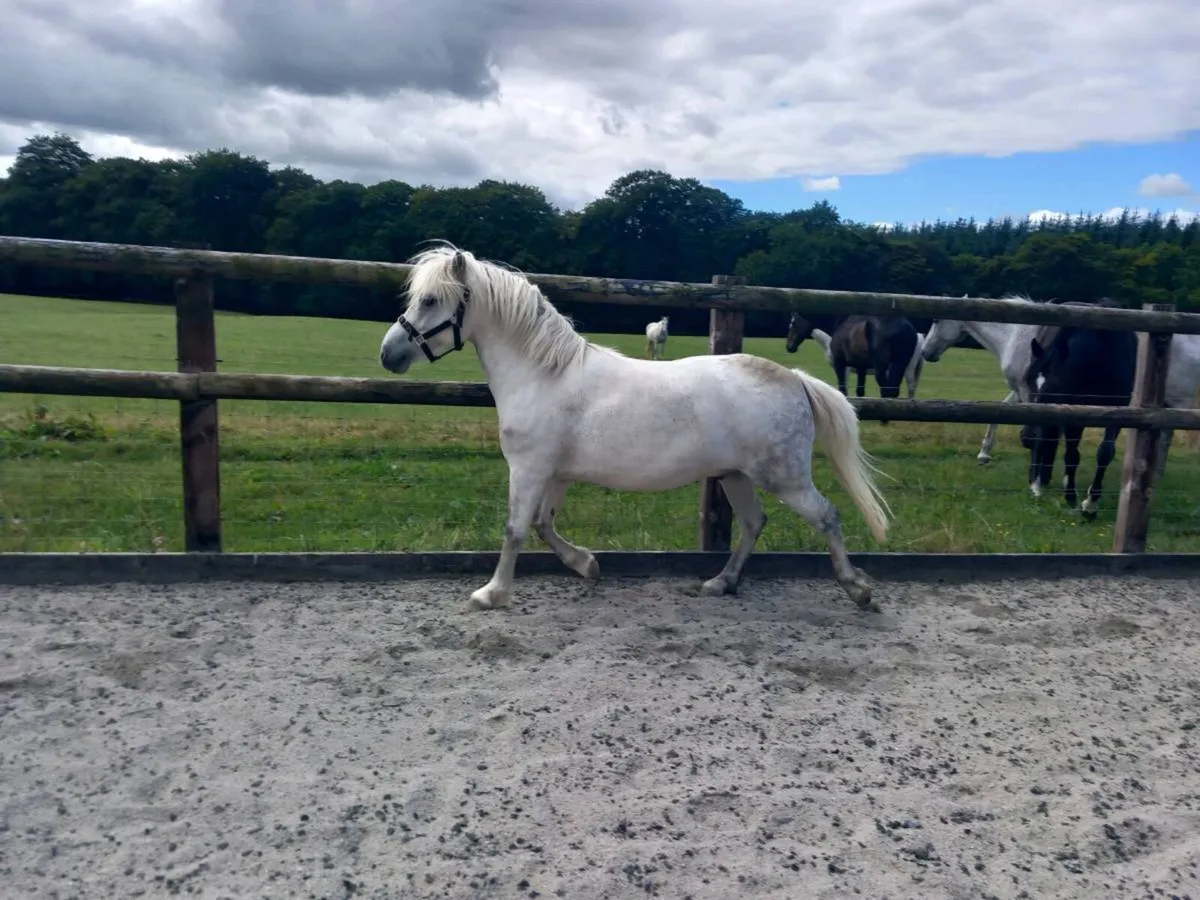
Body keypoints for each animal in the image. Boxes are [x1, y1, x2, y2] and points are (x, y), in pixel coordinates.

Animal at [379, 246, 891, 612]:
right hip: (735, 476)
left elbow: (516, 528)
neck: (543, 374)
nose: (389, 354)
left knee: (827, 516)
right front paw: (587, 566)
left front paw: (492, 594)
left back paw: (858, 590)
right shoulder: (556, 474)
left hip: (783, 477)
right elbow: (544, 524)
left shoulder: (527, 469)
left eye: (430, 300)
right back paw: (720, 582)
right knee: (753, 523)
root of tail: (796, 379)